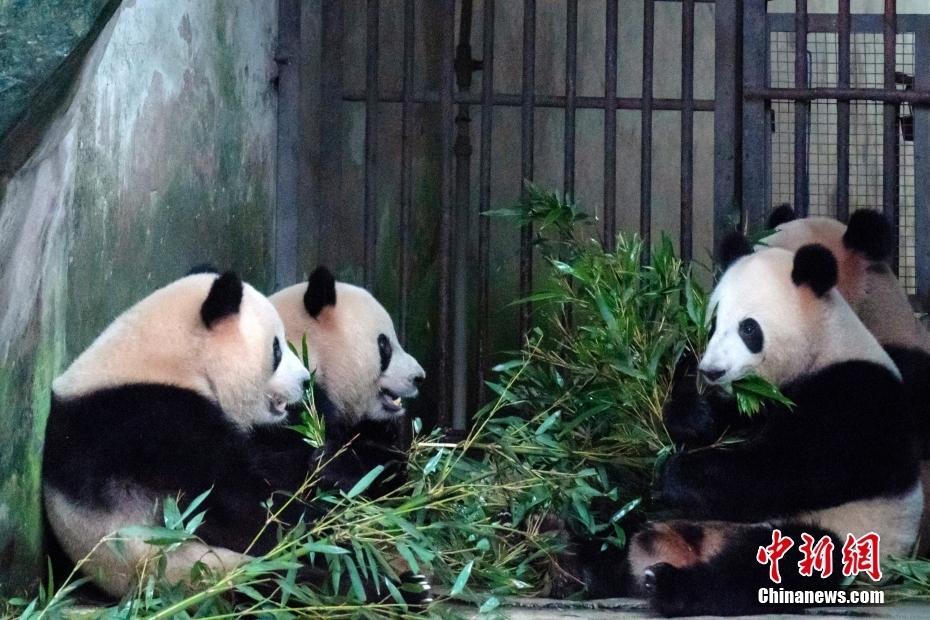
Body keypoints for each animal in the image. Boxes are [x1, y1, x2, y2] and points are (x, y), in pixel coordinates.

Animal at [632, 237, 920, 616]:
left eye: (748, 328)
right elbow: (723, 420)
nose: (712, 371)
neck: (824, 345)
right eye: (712, 324)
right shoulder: (754, 401)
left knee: (766, 568)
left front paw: (676, 472)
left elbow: (791, 467)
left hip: (846, 533)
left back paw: (667, 584)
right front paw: (695, 415)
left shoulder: (855, 396)